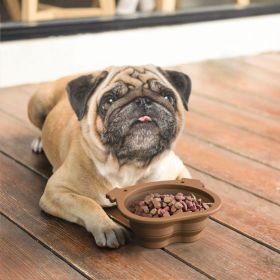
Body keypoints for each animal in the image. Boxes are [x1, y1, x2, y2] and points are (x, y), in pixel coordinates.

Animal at [27, 65, 191, 247]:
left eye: (167, 97)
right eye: (110, 100)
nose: (143, 101)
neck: (129, 165)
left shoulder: (178, 171)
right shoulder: (56, 191)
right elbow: (88, 203)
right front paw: (108, 227)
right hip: (37, 105)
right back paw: (39, 141)